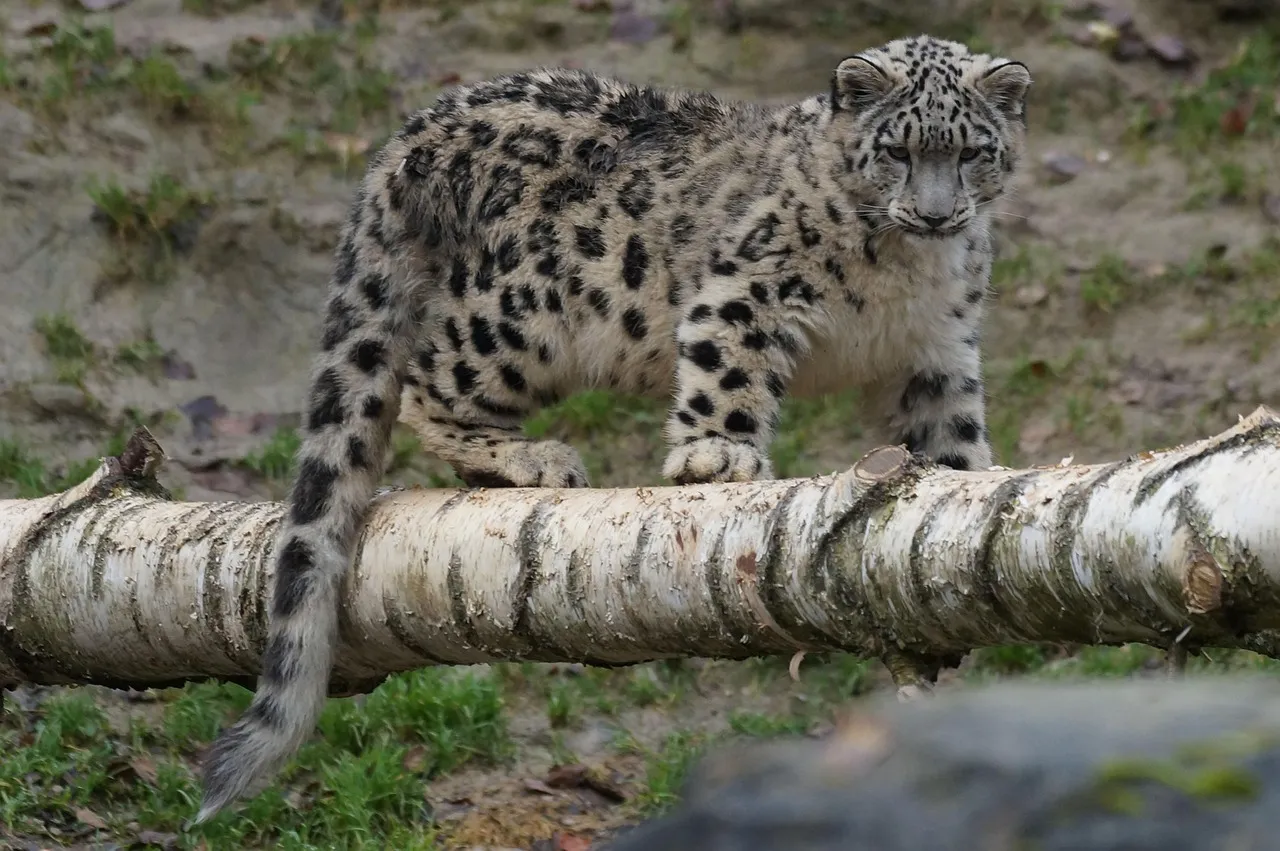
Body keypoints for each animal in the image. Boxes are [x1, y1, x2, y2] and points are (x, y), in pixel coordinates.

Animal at [195, 33, 1032, 823]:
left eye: (970, 151)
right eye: (897, 151)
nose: (935, 213)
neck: (908, 274)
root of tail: (413, 136)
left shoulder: (937, 350)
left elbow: (950, 427)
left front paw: (966, 482)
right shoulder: (745, 290)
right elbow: (726, 371)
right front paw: (715, 457)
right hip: (523, 310)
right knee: (427, 378)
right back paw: (528, 457)